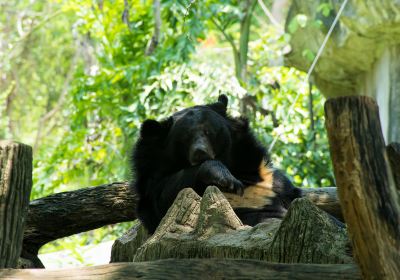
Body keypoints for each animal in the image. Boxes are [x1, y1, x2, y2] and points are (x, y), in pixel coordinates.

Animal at [130, 95, 300, 233]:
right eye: (185, 138)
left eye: (208, 132)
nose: (200, 152)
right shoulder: (152, 176)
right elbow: (163, 197)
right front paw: (227, 179)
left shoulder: (266, 176)